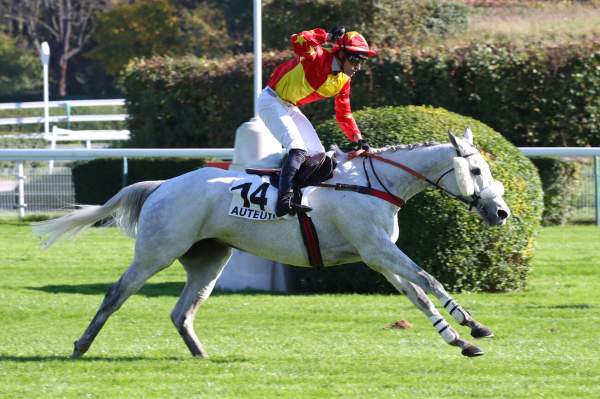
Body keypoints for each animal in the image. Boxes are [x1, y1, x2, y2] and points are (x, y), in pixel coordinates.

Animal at [34, 129, 510, 360]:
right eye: (477, 171)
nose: (501, 212)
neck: (377, 183)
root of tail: (162, 185)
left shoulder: (377, 257)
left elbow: (419, 296)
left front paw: (460, 339)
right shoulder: (378, 250)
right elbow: (430, 281)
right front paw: (473, 326)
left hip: (209, 260)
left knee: (181, 312)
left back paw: (201, 354)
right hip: (157, 251)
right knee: (115, 294)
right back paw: (81, 346)